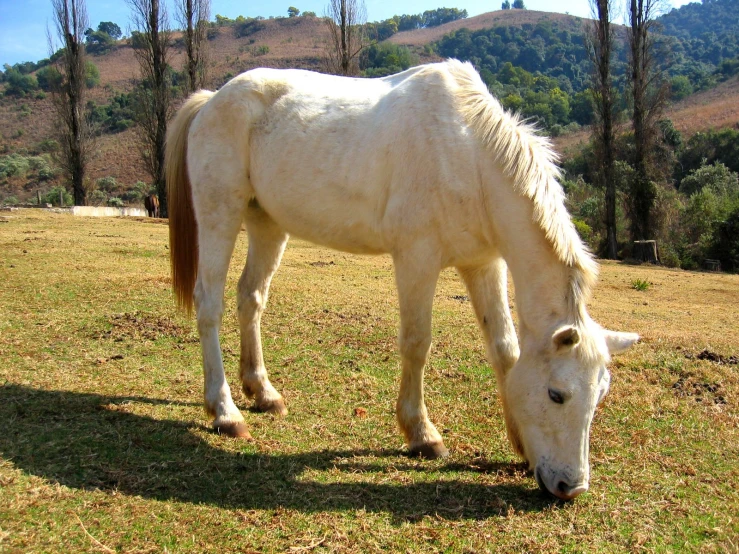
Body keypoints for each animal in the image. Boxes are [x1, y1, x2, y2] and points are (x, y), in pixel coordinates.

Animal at [165, 58, 640, 498]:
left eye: (599, 397)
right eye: (557, 394)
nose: (571, 487)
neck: (468, 153)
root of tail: (213, 99)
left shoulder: (484, 265)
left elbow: (504, 348)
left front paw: (520, 445)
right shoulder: (417, 260)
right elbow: (417, 343)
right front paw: (421, 434)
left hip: (267, 224)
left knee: (251, 298)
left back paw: (262, 391)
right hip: (220, 213)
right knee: (210, 304)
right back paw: (225, 411)